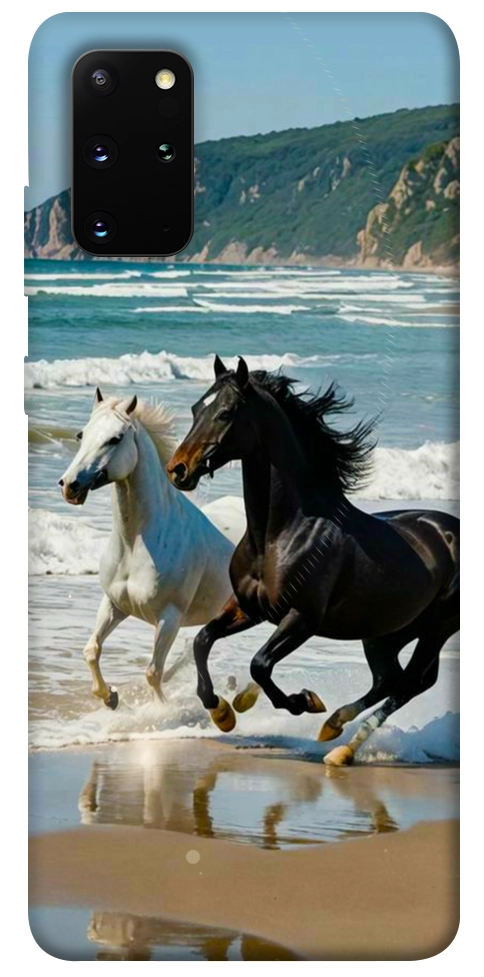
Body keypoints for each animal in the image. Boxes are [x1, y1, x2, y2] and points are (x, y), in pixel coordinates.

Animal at [59, 388, 234, 709]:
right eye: (81, 434)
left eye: (115, 438)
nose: (69, 485)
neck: (135, 544)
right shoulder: (114, 604)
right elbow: (91, 650)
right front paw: (110, 697)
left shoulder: (169, 618)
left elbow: (153, 672)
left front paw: (161, 711)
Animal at [166, 356, 459, 765]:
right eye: (196, 409)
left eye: (225, 413)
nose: (178, 469)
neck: (280, 534)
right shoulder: (248, 608)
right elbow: (202, 640)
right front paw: (223, 711)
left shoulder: (302, 618)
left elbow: (260, 664)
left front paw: (303, 701)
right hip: (386, 632)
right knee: (390, 679)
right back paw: (334, 729)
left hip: (436, 628)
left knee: (411, 683)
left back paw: (341, 746)